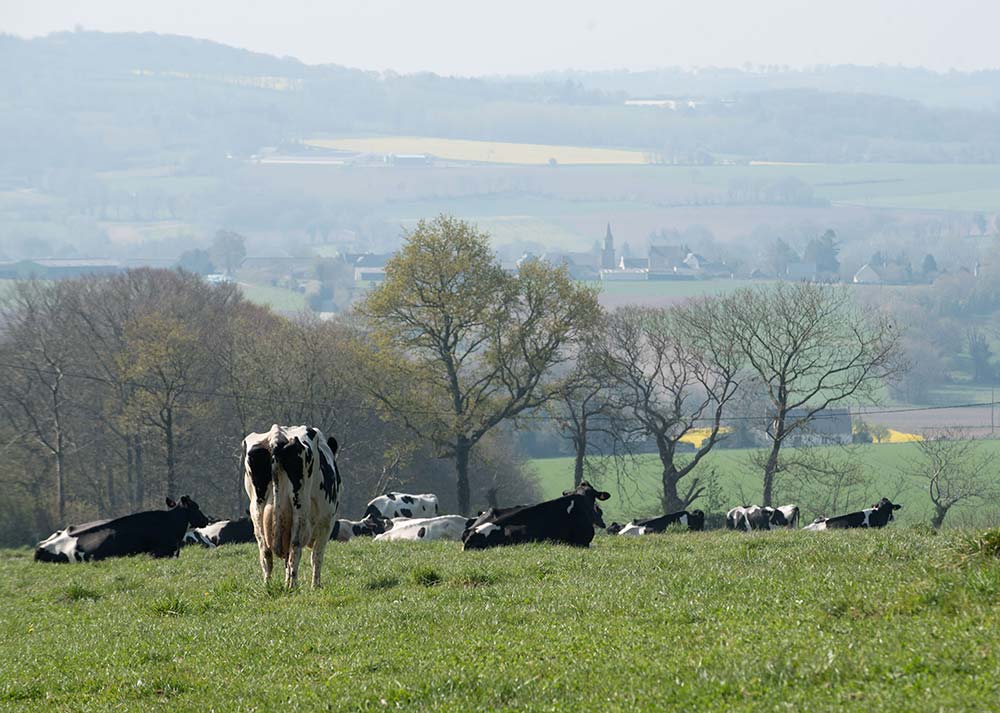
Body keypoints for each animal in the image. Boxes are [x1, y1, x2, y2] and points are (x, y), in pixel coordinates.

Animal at [240, 426, 342, 588]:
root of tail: (276, 435)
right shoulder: (327, 524)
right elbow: (317, 556)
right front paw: (316, 586)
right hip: (300, 510)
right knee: (295, 550)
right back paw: (292, 586)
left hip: (257, 511)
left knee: (266, 554)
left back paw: (268, 586)